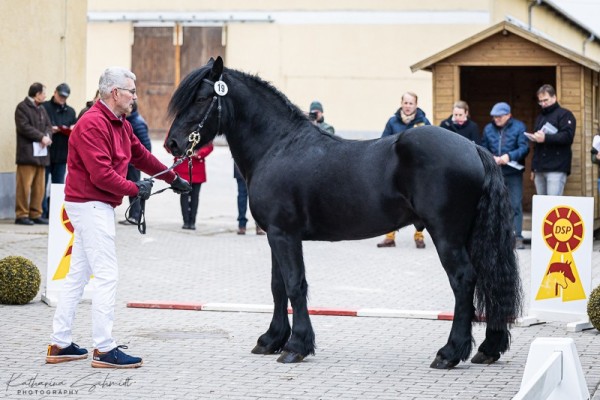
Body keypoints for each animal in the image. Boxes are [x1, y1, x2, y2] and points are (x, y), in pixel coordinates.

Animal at [164, 56, 520, 368]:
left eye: (202, 98)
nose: (173, 144)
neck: (277, 146)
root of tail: (474, 147)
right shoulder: (275, 235)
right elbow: (278, 286)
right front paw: (271, 340)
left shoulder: (285, 235)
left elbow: (295, 285)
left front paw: (296, 346)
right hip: (470, 234)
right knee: (489, 278)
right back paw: (488, 349)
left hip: (446, 235)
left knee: (464, 280)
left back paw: (449, 353)